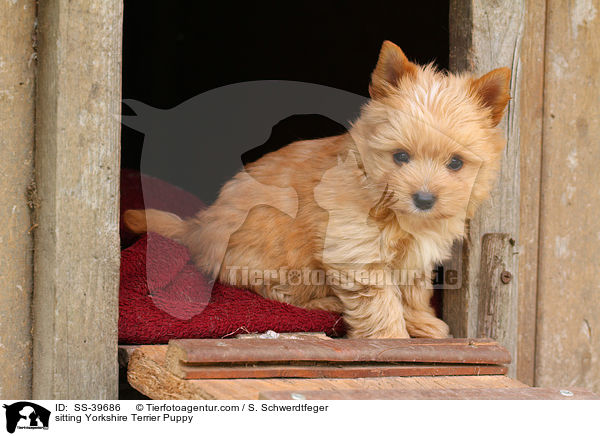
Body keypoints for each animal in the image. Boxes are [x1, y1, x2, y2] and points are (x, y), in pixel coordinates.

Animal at [124, 41, 508, 338]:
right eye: (400, 156)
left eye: (456, 163)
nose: (424, 200)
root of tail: (200, 227)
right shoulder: (356, 250)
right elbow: (381, 301)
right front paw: (393, 338)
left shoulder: (414, 256)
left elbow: (413, 290)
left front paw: (421, 323)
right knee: (276, 292)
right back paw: (328, 302)